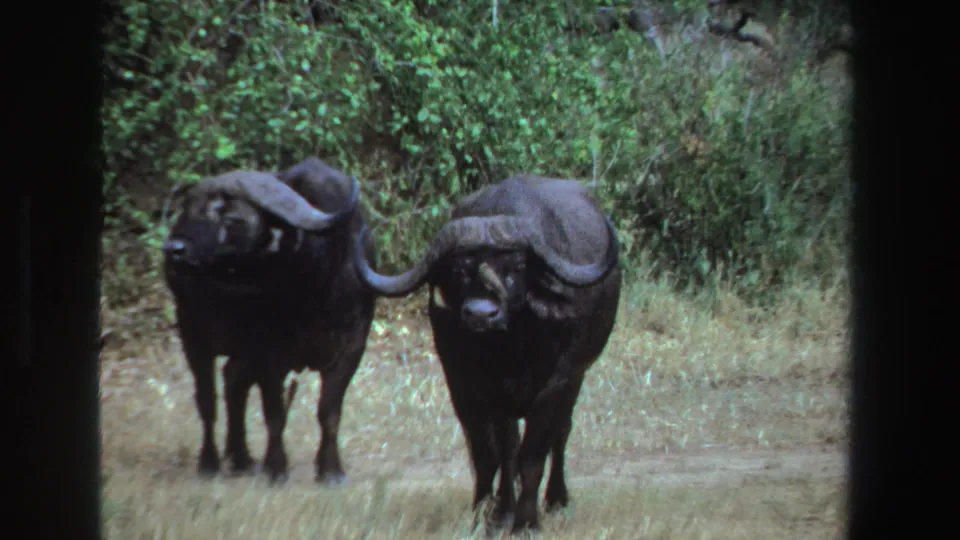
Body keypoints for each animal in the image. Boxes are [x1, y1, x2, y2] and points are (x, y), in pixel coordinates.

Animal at [162, 157, 377, 485]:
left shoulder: (351, 347)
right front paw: (276, 468)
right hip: (194, 335)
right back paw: (210, 463)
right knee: (208, 400)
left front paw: (330, 470)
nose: (174, 249)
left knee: (233, 380)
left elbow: (329, 411)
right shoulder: (269, 353)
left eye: (232, 217)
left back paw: (241, 457)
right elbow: (274, 413)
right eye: (188, 210)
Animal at [351, 175, 622, 532]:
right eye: (459, 270)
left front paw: (526, 522)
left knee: (561, 433)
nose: (481, 315)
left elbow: (533, 454)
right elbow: (491, 454)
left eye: (517, 266)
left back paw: (556, 500)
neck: (509, 351)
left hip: (577, 378)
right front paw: (489, 515)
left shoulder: (556, 383)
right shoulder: (466, 385)